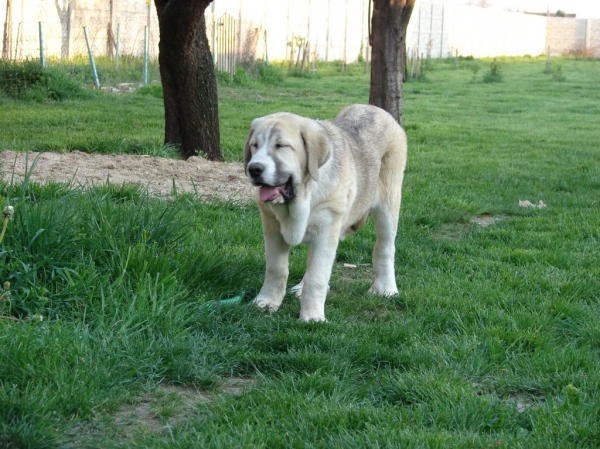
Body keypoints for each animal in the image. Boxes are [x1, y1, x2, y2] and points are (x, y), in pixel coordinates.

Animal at [244, 104, 408, 322]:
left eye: (281, 146)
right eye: (254, 145)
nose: (254, 168)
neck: (304, 195)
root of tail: (376, 109)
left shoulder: (326, 228)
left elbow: (317, 277)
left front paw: (312, 318)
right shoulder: (272, 228)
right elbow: (276, 268)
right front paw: (266, 302)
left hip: (388, 204)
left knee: (385, 247)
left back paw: (386, 289)